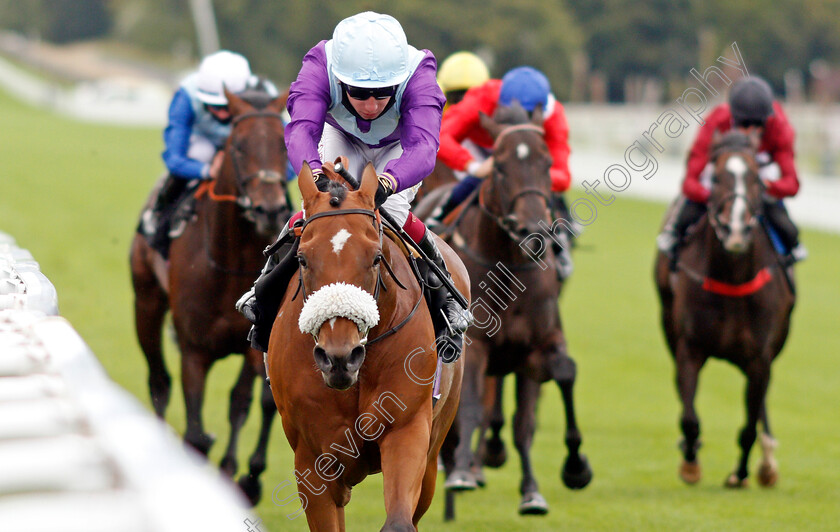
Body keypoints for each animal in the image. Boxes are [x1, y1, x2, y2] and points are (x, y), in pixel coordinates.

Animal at [129, 87, 292, 502]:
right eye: (239, 146)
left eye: (282, 146)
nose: (269, 210)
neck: (229, 263)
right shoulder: (194, 350)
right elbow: (194, 429)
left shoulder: (254, 346)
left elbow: (242, 404)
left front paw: (241, 476)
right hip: (146, 304)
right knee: (158, 382)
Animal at [268, 162, 470, 532]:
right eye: (302, 259)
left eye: (376, 258)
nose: (339, 358)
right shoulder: (312, 461)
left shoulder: (407, 430)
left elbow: (399, 521)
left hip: (434, 450)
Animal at [656, 129, 796, 486]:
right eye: (717, 177)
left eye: (757, 179)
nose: (736, 230)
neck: (732, 277)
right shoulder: (690, 347)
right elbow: (689, 417)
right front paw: (690, 464)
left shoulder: (760, 357)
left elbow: (748, 425)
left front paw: (741, 472)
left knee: (760, 405)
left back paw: (766, 462)